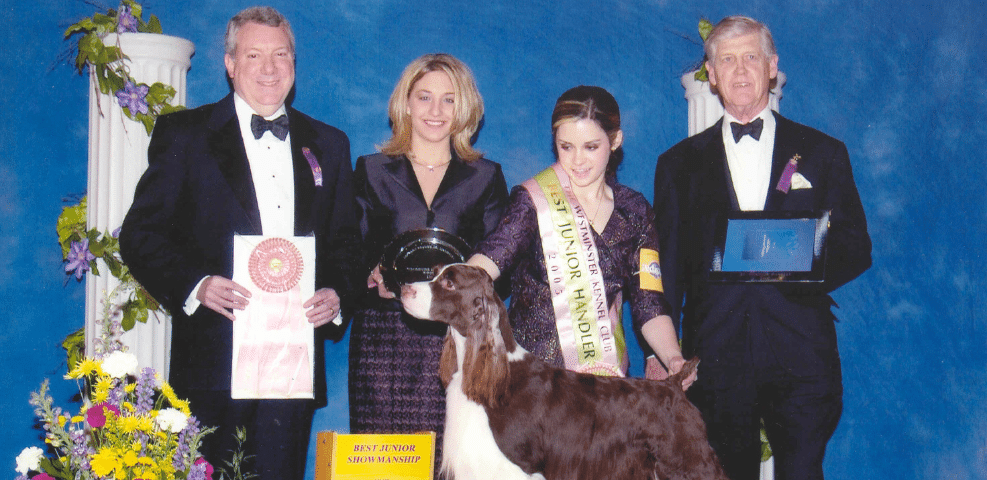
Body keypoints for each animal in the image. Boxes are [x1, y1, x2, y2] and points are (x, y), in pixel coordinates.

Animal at [398, 264, 728, 480]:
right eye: (436, 273)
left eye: (450, 283)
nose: (404, 288)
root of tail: (674, 383)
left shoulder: (518, 466)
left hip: (688, 459)